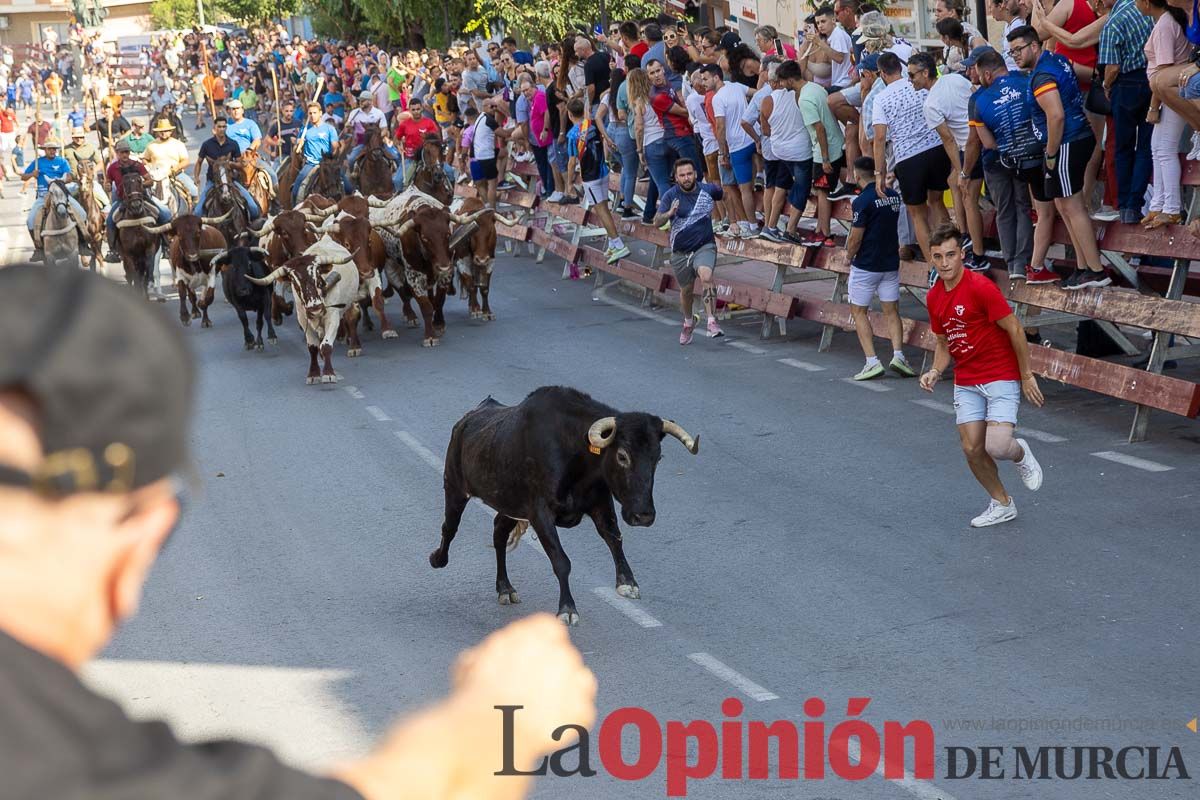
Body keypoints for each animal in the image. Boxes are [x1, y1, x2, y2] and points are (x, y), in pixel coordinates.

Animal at [432, 386, 700, 623]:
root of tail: (467, 420)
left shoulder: (600, 503)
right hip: (454, 487)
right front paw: (567, 610)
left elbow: (614, 538)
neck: (576, 454)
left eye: (657, 457)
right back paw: (438, 558)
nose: (643, 515)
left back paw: (505, 588)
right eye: (622, 455)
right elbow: (561, 560)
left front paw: (627, 583)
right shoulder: (540, 513)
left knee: (498, 532)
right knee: (450, 527)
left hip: (509, 504)